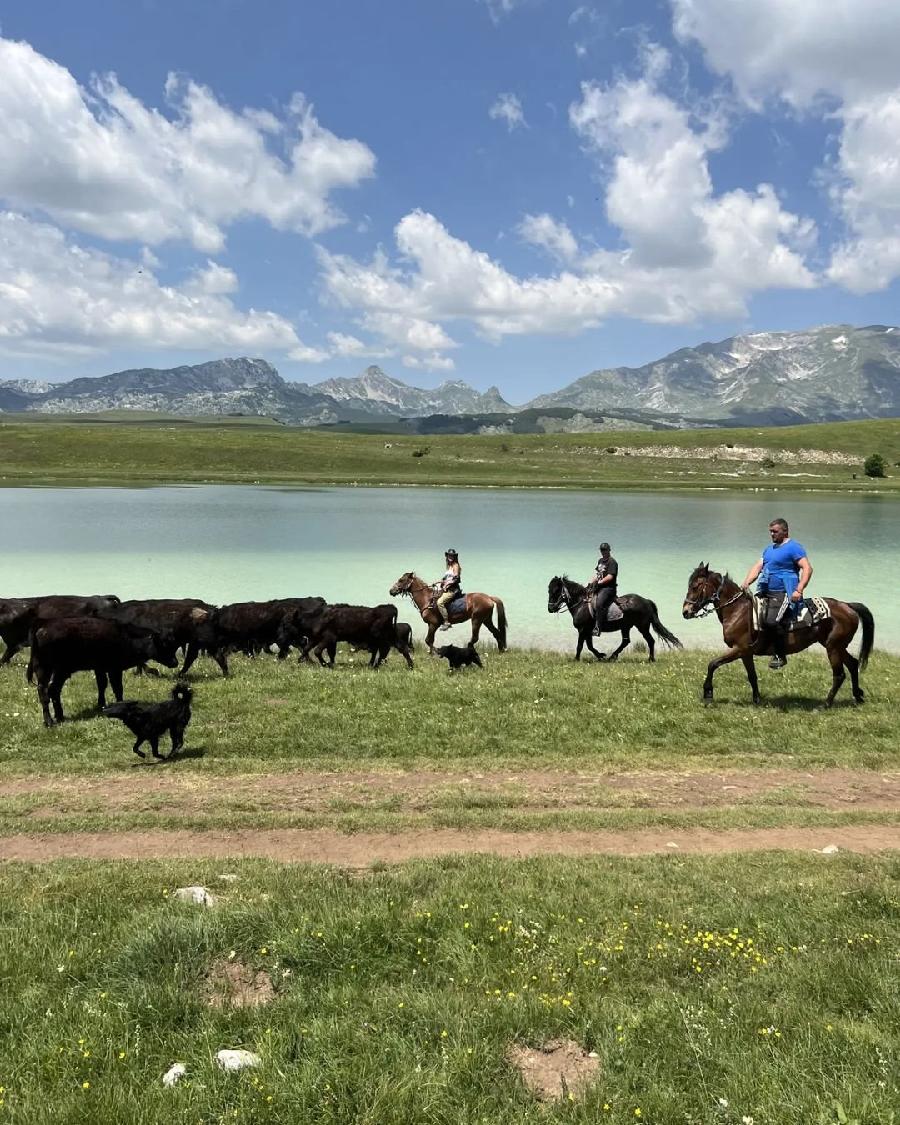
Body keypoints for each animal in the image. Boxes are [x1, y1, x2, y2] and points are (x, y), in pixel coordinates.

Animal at [28, 616, 178, 729]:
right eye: (165, 644)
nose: (175, 662)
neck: (125, 636)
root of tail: (42, 625)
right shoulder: (114, 668)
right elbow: (117, 687)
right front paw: (121, 704)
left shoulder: (99, 667)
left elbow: (102, 684)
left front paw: (101, 704)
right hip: (55, 669)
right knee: (47, 691)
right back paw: (50, 721)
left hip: (50, 669)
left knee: (51, 690)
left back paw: (58, 717)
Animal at [684, 567, 873, 706]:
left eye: (695, 586)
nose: (685, 611)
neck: (738, 611)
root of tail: (847, 606)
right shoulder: (746, 653)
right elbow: (752, 676)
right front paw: (757, 700)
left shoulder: (739, 649)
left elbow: (713, 664)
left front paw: (708, 693)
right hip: (836, 646)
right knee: (853, 664)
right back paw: (858, 696)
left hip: (833, 647)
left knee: (839, 675)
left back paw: (825, 704)